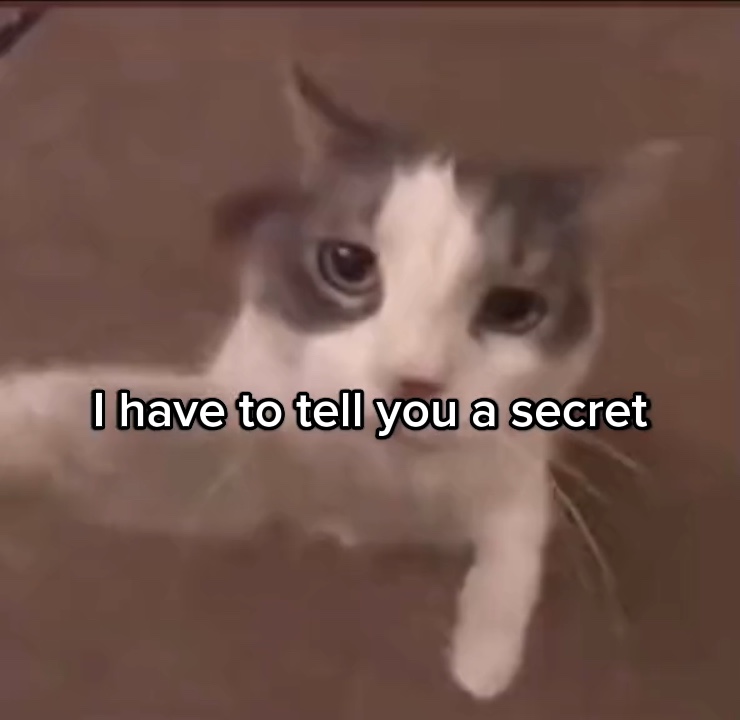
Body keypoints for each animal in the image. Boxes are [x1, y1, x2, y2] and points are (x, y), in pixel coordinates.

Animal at [0, 64, 678, 701]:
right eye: (347, 265)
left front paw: (484, 657)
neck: (383, 487)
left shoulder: (517, 460)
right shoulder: (239, 462)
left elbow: (517, 533)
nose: (414, 379)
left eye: (513, 308)